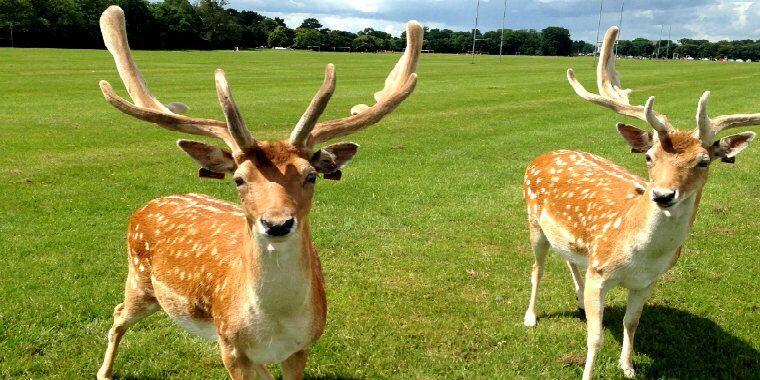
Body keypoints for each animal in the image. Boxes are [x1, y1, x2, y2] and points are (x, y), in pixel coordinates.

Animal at [93, 6, 422, 380]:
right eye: (239, 179)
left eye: (311, 175)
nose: (277, 223)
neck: (274, 326)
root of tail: (146, 206)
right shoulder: (230, 346)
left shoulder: (302, 347)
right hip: (139, 280)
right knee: (118, 312)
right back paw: (104, 371)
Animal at [524, 25, 760, 378]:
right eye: (649, 156)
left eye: (704, 161)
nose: (662, 195)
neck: (638, 255)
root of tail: (542, 156)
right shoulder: (599, 272)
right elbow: (595, 337)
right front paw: (588, 373)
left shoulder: (647, 282)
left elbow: (631, 322)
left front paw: (629, 367)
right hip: (533, 220)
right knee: (537, 268)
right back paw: (530, 316)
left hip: (568, 240)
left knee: (568, 257)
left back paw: (577, 300)